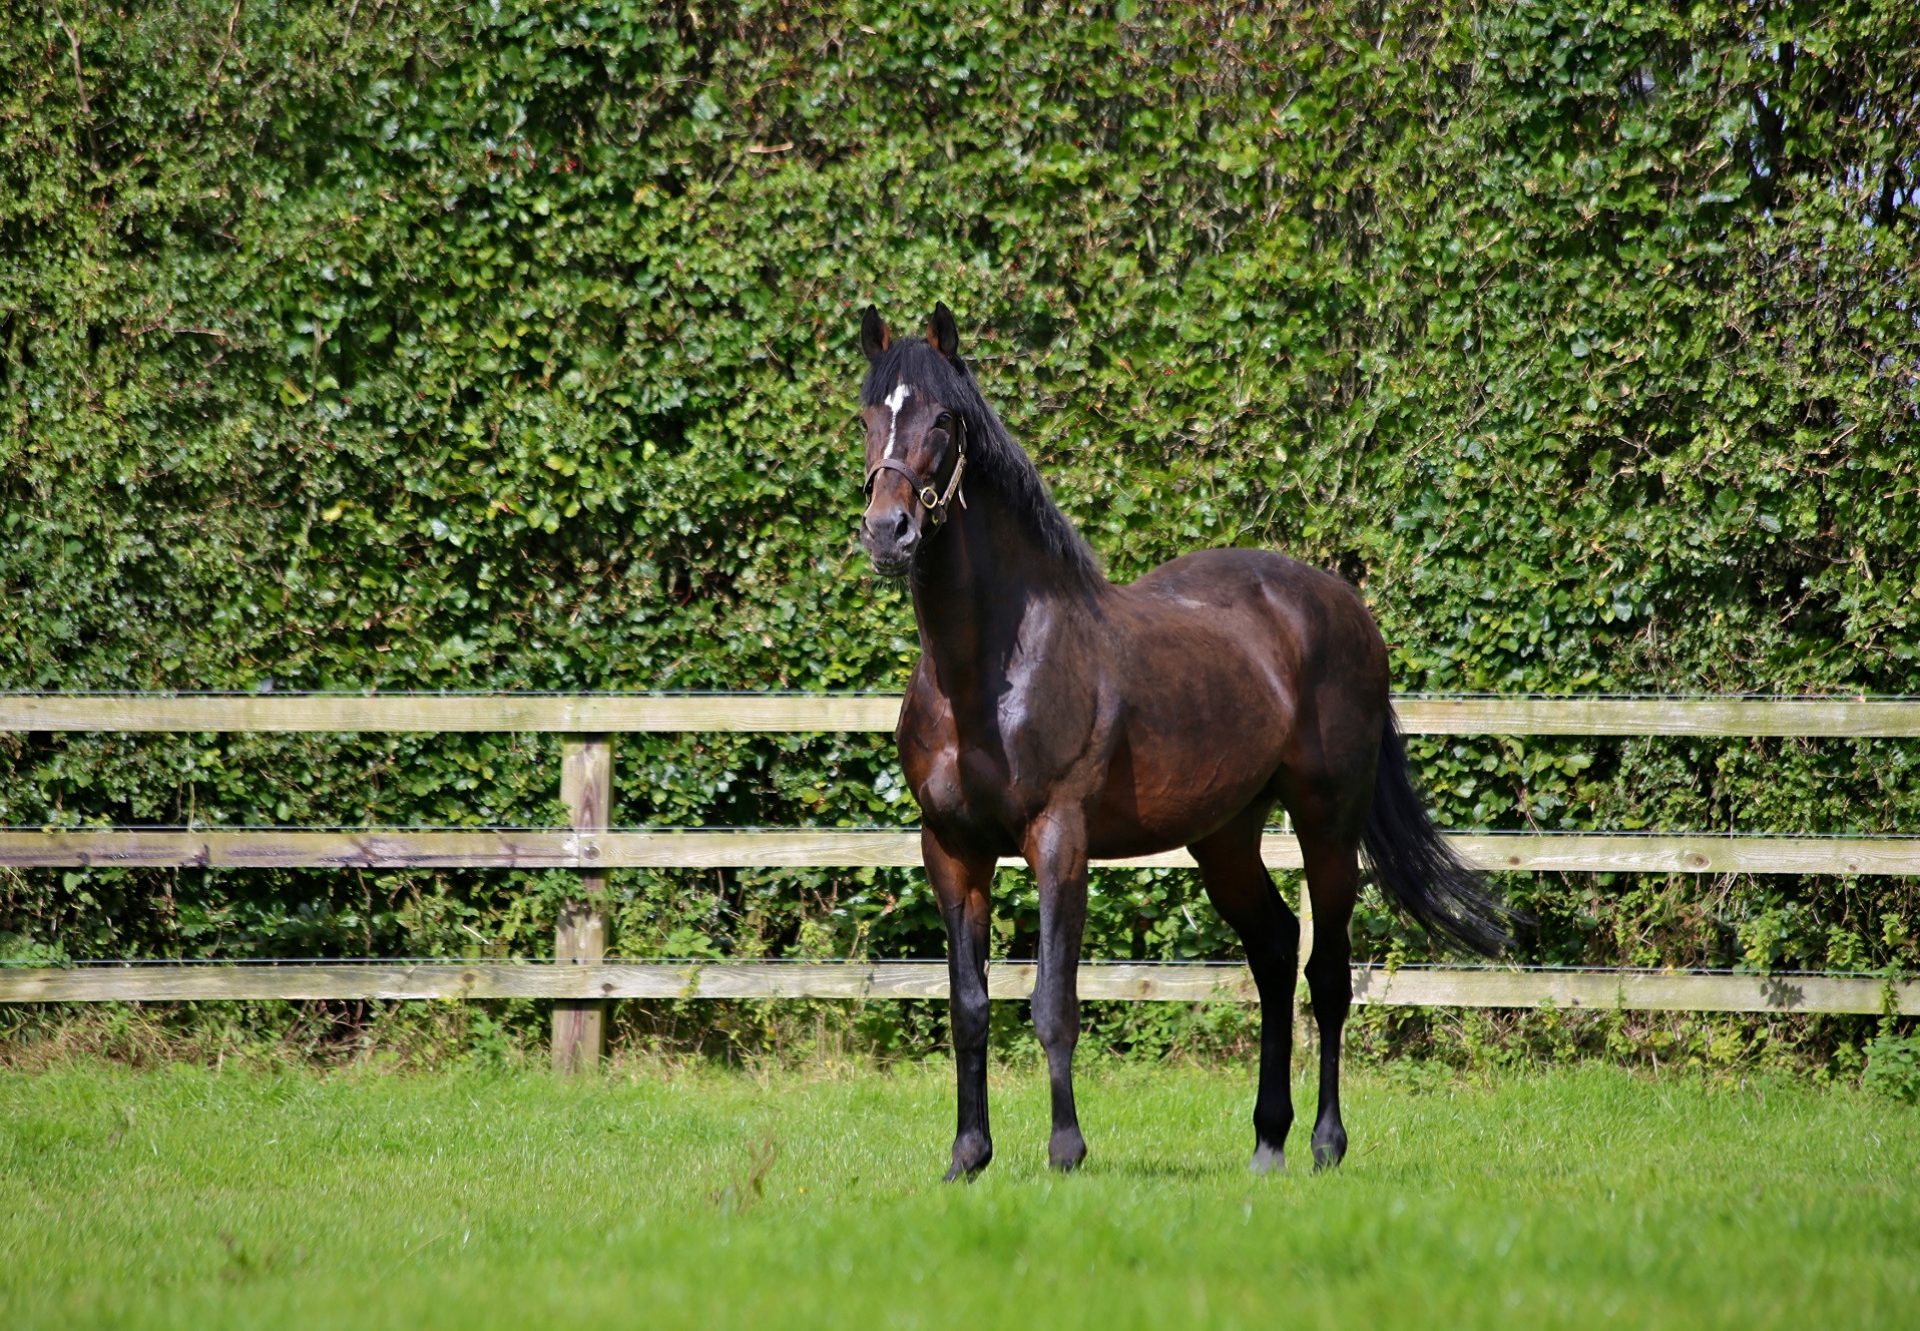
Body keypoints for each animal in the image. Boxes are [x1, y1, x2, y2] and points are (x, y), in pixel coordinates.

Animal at [856, 301, 1512, 1175]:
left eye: (942, 419)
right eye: (867, 416)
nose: (888, 531)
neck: (990, 671)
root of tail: (1345, 605)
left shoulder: (1058, 839)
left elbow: (1053, 1001)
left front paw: (1066, 1150)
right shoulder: (951, 848)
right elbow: (969, 1005)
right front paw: (968, 1155)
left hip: (1327, 821)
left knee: (1328, 974)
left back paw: (1324, 1143)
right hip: (1224, 835)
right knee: (1275, 948)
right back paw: (1267, 1139)